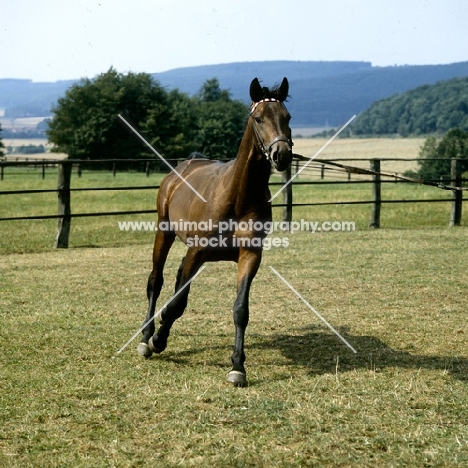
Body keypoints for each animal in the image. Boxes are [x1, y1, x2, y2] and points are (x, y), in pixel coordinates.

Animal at [137, 77, 294, 386]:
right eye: (259, 118)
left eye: (287, 117)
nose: (281, 154)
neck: (237, 196)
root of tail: (183, 167)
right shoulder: (197, 251)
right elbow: (176, 302)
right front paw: (158, 339)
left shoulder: (250, 255)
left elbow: (240, 309)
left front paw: (238, 367)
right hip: (165, 232)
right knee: (156, 281)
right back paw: (147, 337)